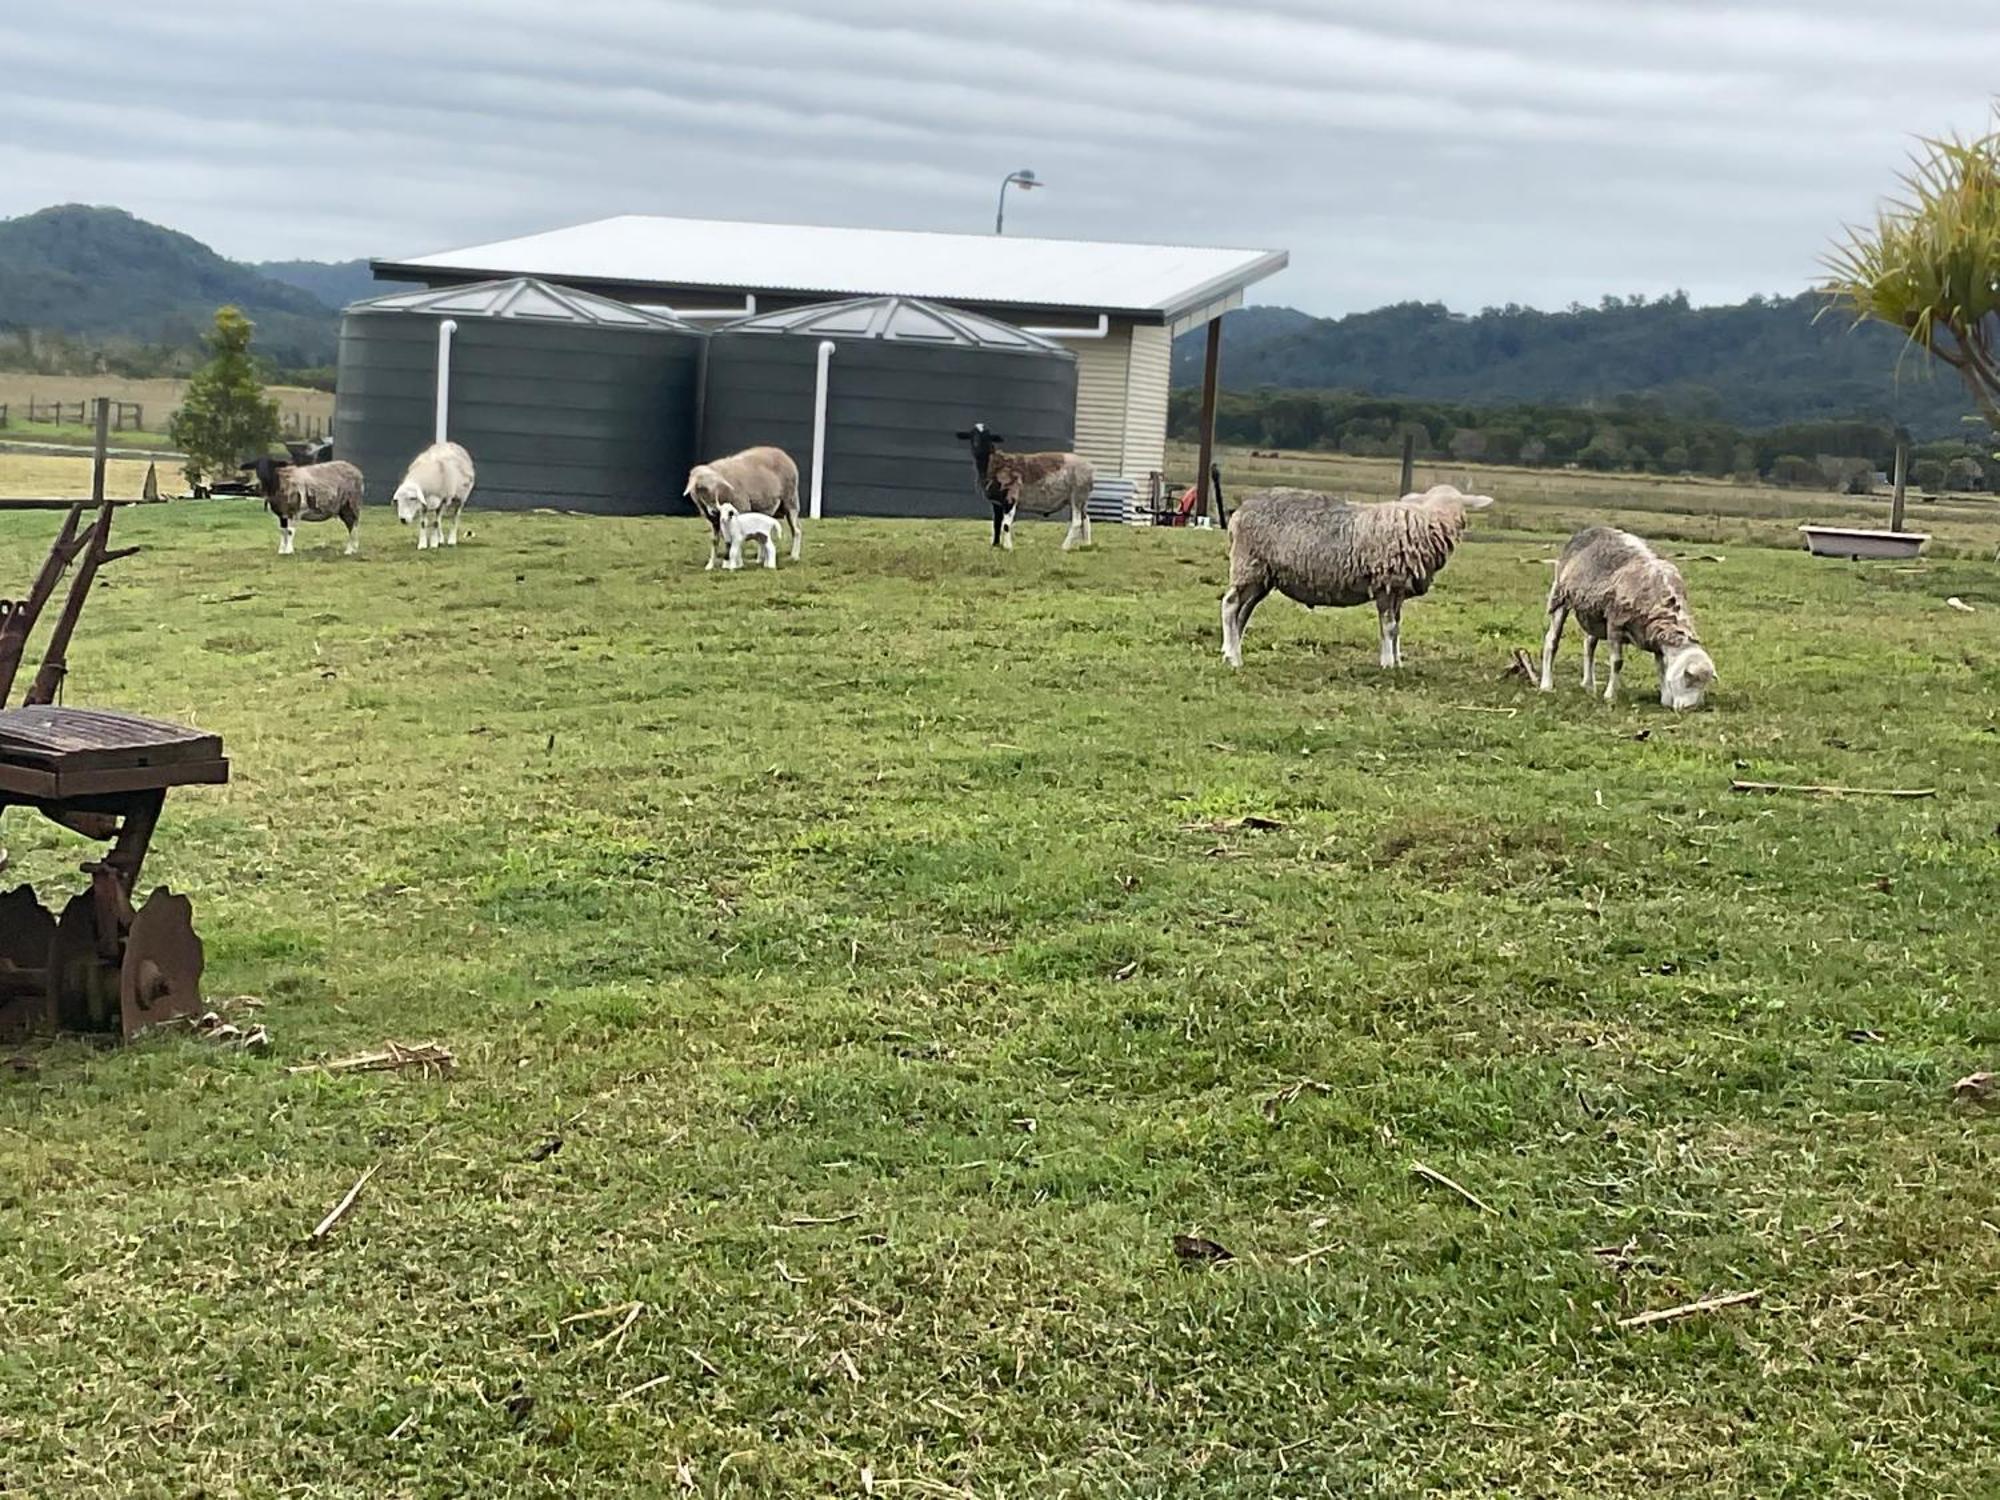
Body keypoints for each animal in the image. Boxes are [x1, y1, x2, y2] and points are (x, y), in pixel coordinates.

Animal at [952, 426, 1096, 556]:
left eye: (987, 436)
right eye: (972, 435)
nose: (977, 446)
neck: (993, 463)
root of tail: (1090, 467)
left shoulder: (1010, 497)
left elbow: (1005, 525)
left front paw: (1008, 547)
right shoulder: (997, 503)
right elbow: (997, 524)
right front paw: (996, 546)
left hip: (1077, 496)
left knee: (1077, 522)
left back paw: (1064, 547)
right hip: (1081, 499)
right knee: (1085, 519)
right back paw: (1086, 545)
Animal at [1208, 488, 1496, 668]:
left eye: (1460, 506)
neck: (1426, 520)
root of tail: (1238, 513)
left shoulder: (1398, 589)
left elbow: (1396, 627)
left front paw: (1398, 660)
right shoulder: (1385, 583)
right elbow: (1389, 627)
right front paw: (1387, 663)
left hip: (1263, 576)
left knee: (1242, 613)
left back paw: (1231, 651)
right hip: (1249, 565)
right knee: (1230, 605)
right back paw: (1233, 657)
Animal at [1536, 524, 1712, 712]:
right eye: (1688, 678)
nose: (1691, 708)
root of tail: (1587, 530)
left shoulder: (1654, 638)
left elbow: (1661, 668)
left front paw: (1665, 698)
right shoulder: (1615, 623)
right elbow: (1617, 662)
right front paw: (1610, 696)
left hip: (1593, 614)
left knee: (1589, 645)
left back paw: (1589, 684)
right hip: (1560, 597)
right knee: (1552, 640)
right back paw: (1546, 685)